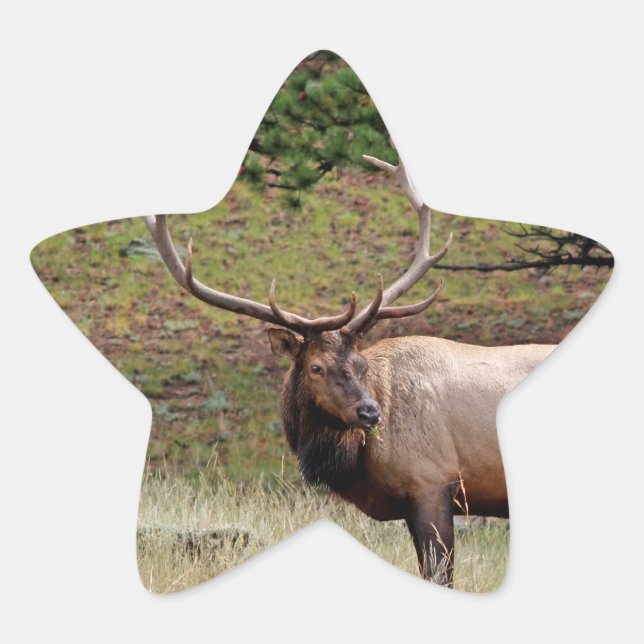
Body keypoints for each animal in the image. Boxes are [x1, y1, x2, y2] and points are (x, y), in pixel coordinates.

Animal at [144, 154, 555, 586]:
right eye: (316, 367)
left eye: (360, 363)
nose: (371, 412)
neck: (355, 464)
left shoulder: (432, 483)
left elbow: (440, 575)